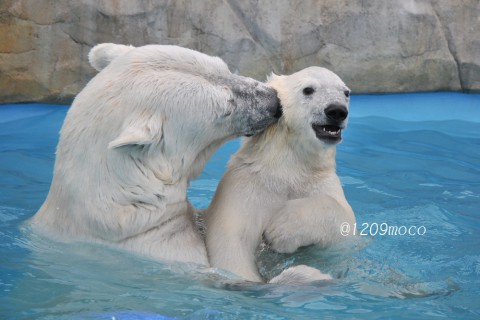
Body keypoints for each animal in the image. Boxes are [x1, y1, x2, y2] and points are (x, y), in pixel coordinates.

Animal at [205, 66, 356, 282]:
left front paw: (281, 228)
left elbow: (344, 223)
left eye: (346, 92)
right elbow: (231, 244)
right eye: (308, 90)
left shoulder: (319, 181)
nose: (337, 111)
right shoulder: (245, 186)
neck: (287, 167)